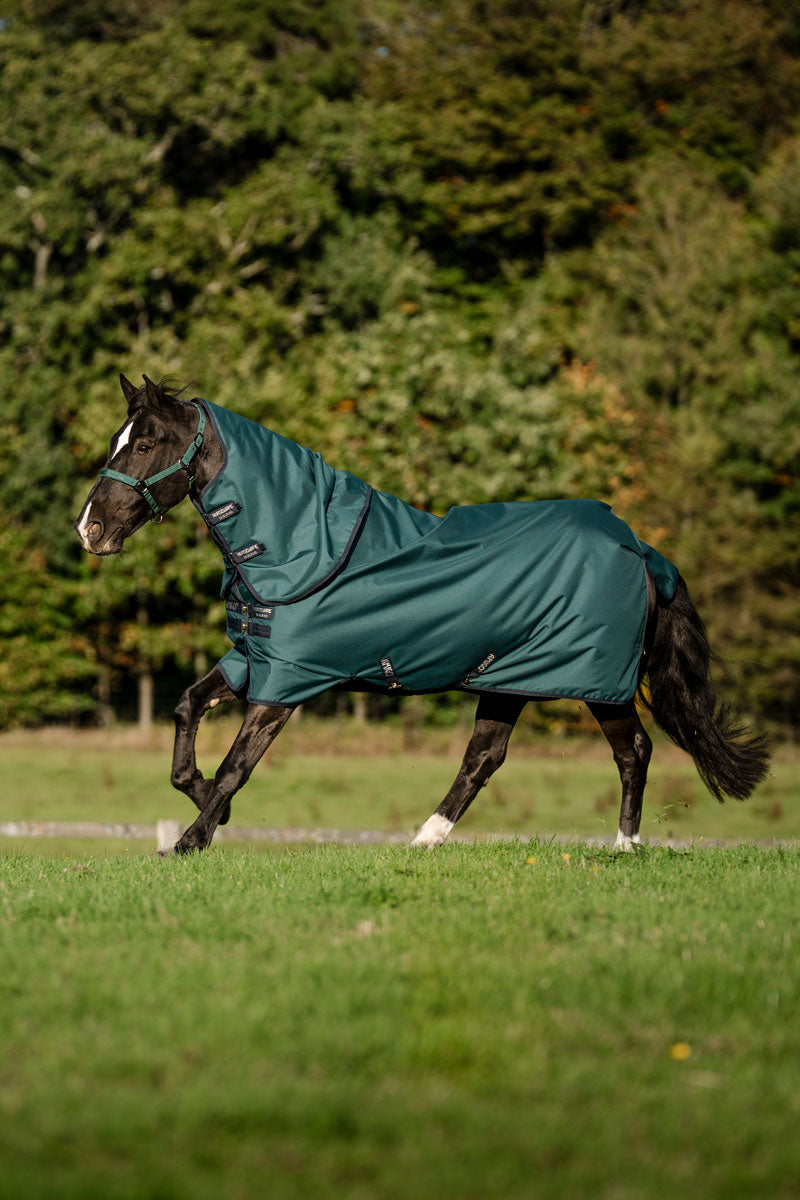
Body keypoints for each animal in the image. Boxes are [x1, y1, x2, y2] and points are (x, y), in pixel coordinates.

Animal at [74, 374, 769, 856]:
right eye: (118, 441)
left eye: (145, 443)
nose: (90, 529)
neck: (299, 542)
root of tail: (640, 549)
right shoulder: (253, 659)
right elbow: (186, 710)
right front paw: (200, 804)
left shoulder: (286, 682)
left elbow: (235, 767)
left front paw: (191, 839)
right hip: (509, 678)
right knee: (484, 758)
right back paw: (424, 841)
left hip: (598, 682)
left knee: (635, 752)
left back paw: (625, 847)